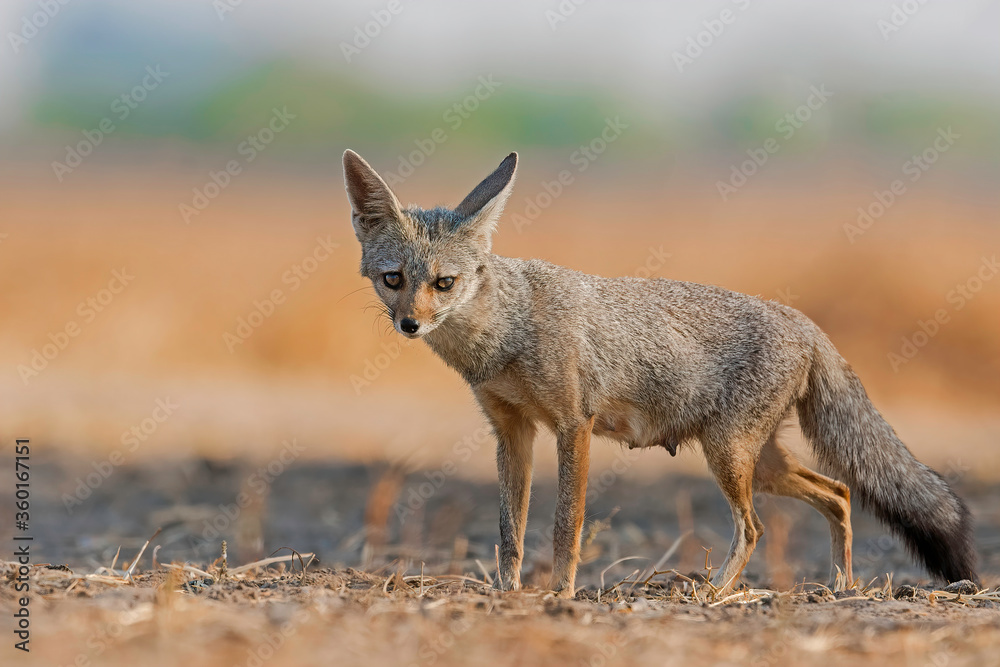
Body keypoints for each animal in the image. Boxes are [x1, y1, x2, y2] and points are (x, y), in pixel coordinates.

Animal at [343, 149, 978, 597]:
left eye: (444, 283)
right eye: (394, 279)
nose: (410, 325)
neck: (505, 333)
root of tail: (805, 322)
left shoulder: (573, 425)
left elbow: (565, 525)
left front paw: (561, 593)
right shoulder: (512, 433)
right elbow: (509, 532)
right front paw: (506, 592)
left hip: (729, 457)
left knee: (756, 527)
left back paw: (717, 593)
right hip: (760, 463)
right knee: (841, 493)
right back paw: (841, 586)